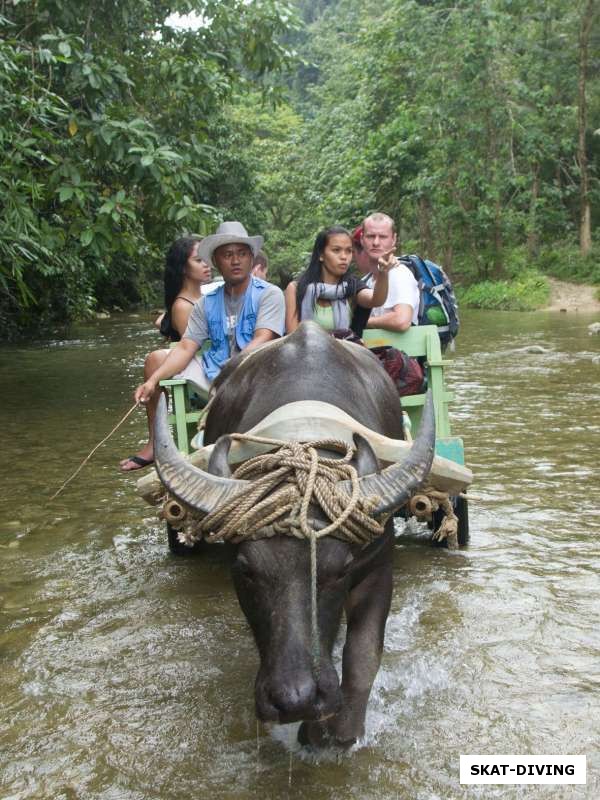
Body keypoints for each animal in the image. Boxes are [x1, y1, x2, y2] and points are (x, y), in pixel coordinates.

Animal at [151, 322, 432, 748]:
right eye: (246, 571)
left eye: (341, 569)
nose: (296, 698)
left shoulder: (378, 567)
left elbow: (363, 654)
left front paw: (340, 731)